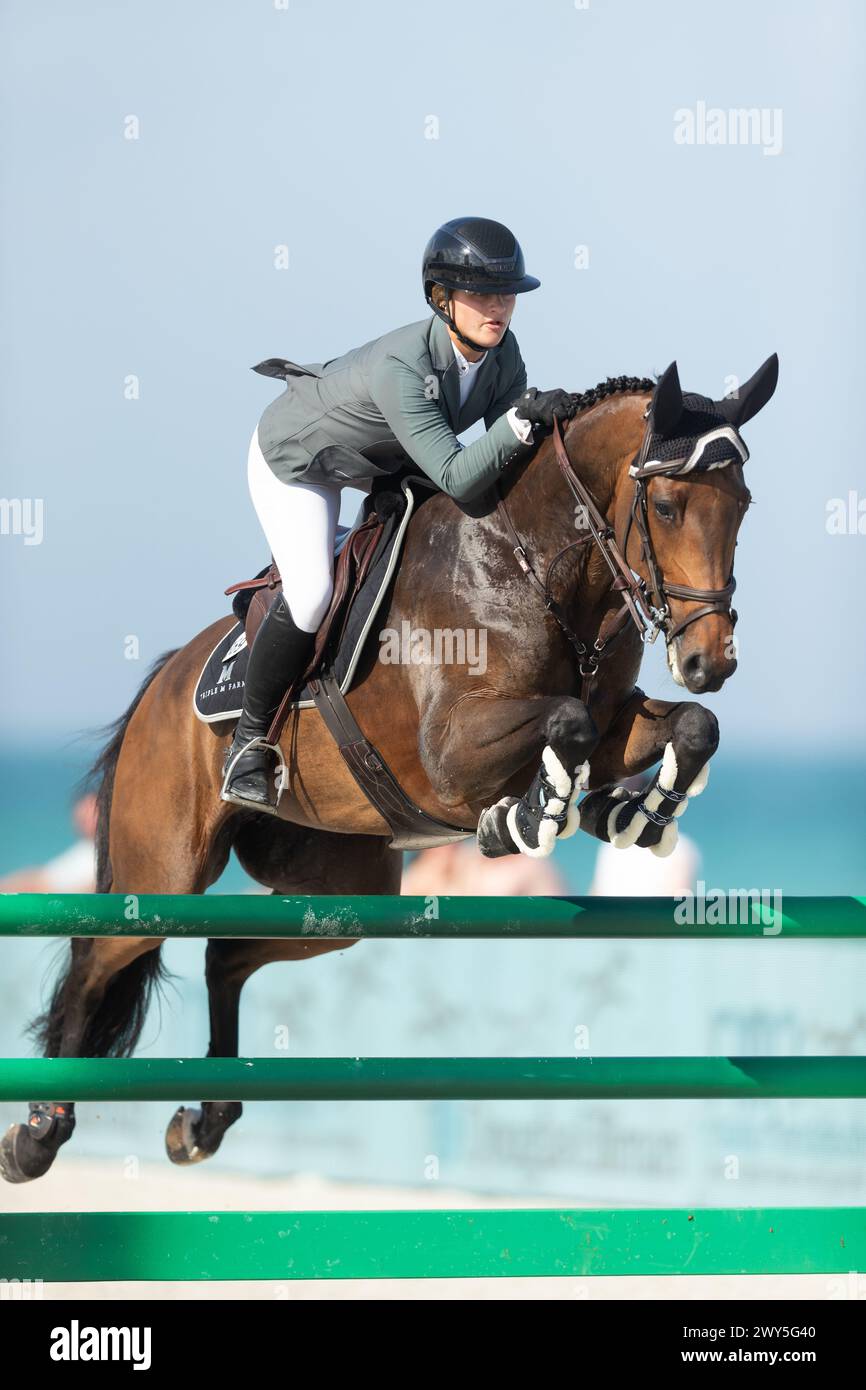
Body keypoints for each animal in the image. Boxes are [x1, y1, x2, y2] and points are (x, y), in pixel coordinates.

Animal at [1, 353, 778, 1178]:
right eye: (664, 505)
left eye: (742, 504)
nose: (709, 663)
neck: (537, 566)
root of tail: (168, 678)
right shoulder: (452, 751)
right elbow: (565, 721)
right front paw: (523, 819)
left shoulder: (613, 719)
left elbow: (688, 726)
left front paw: (627, 812)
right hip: (167, 870)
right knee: (96, 958)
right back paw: (38, 1133)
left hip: (344, 887)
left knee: (224, 954)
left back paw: (205, 1119)